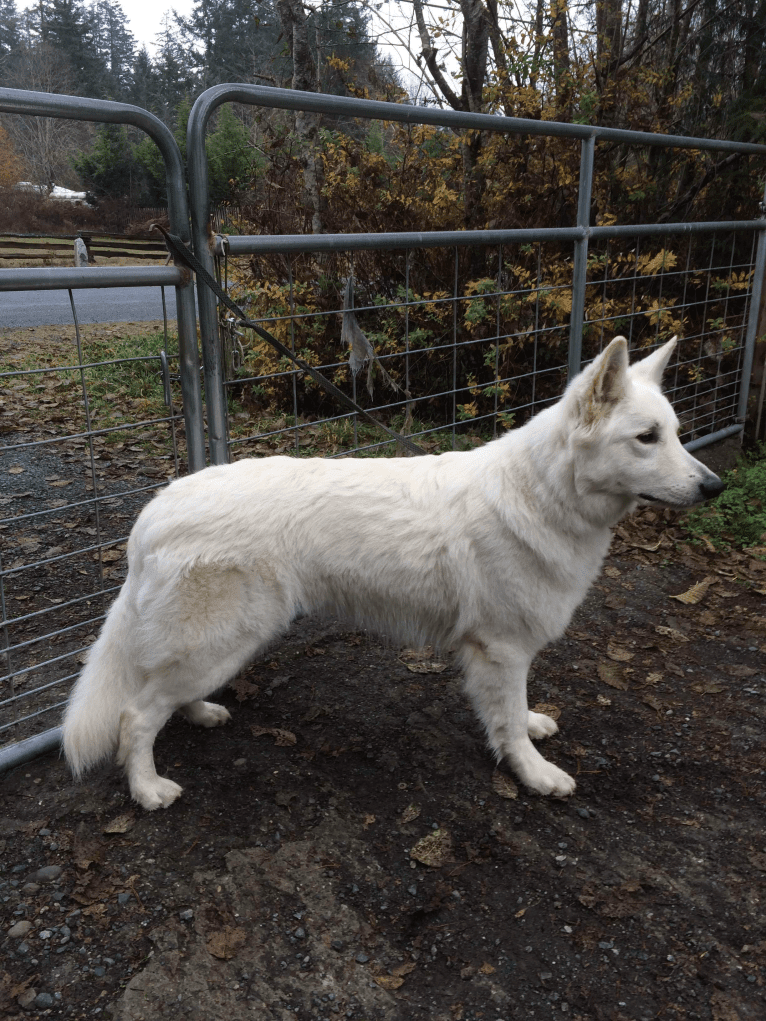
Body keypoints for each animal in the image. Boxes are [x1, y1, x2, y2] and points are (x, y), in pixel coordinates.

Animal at [61, 338, 727, 808]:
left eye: (675, 435)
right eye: (647, 438)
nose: (715, 486)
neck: (542, 494)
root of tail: (154, 512)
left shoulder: (507, 653)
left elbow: (516, 713)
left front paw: (533, 731)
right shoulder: (502, 649)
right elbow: (507, 721)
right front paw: (534, 775)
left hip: (223, 643)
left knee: (165, 696)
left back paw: (200, 712)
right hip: (225, 638)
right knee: (135, 715)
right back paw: (147, 790)